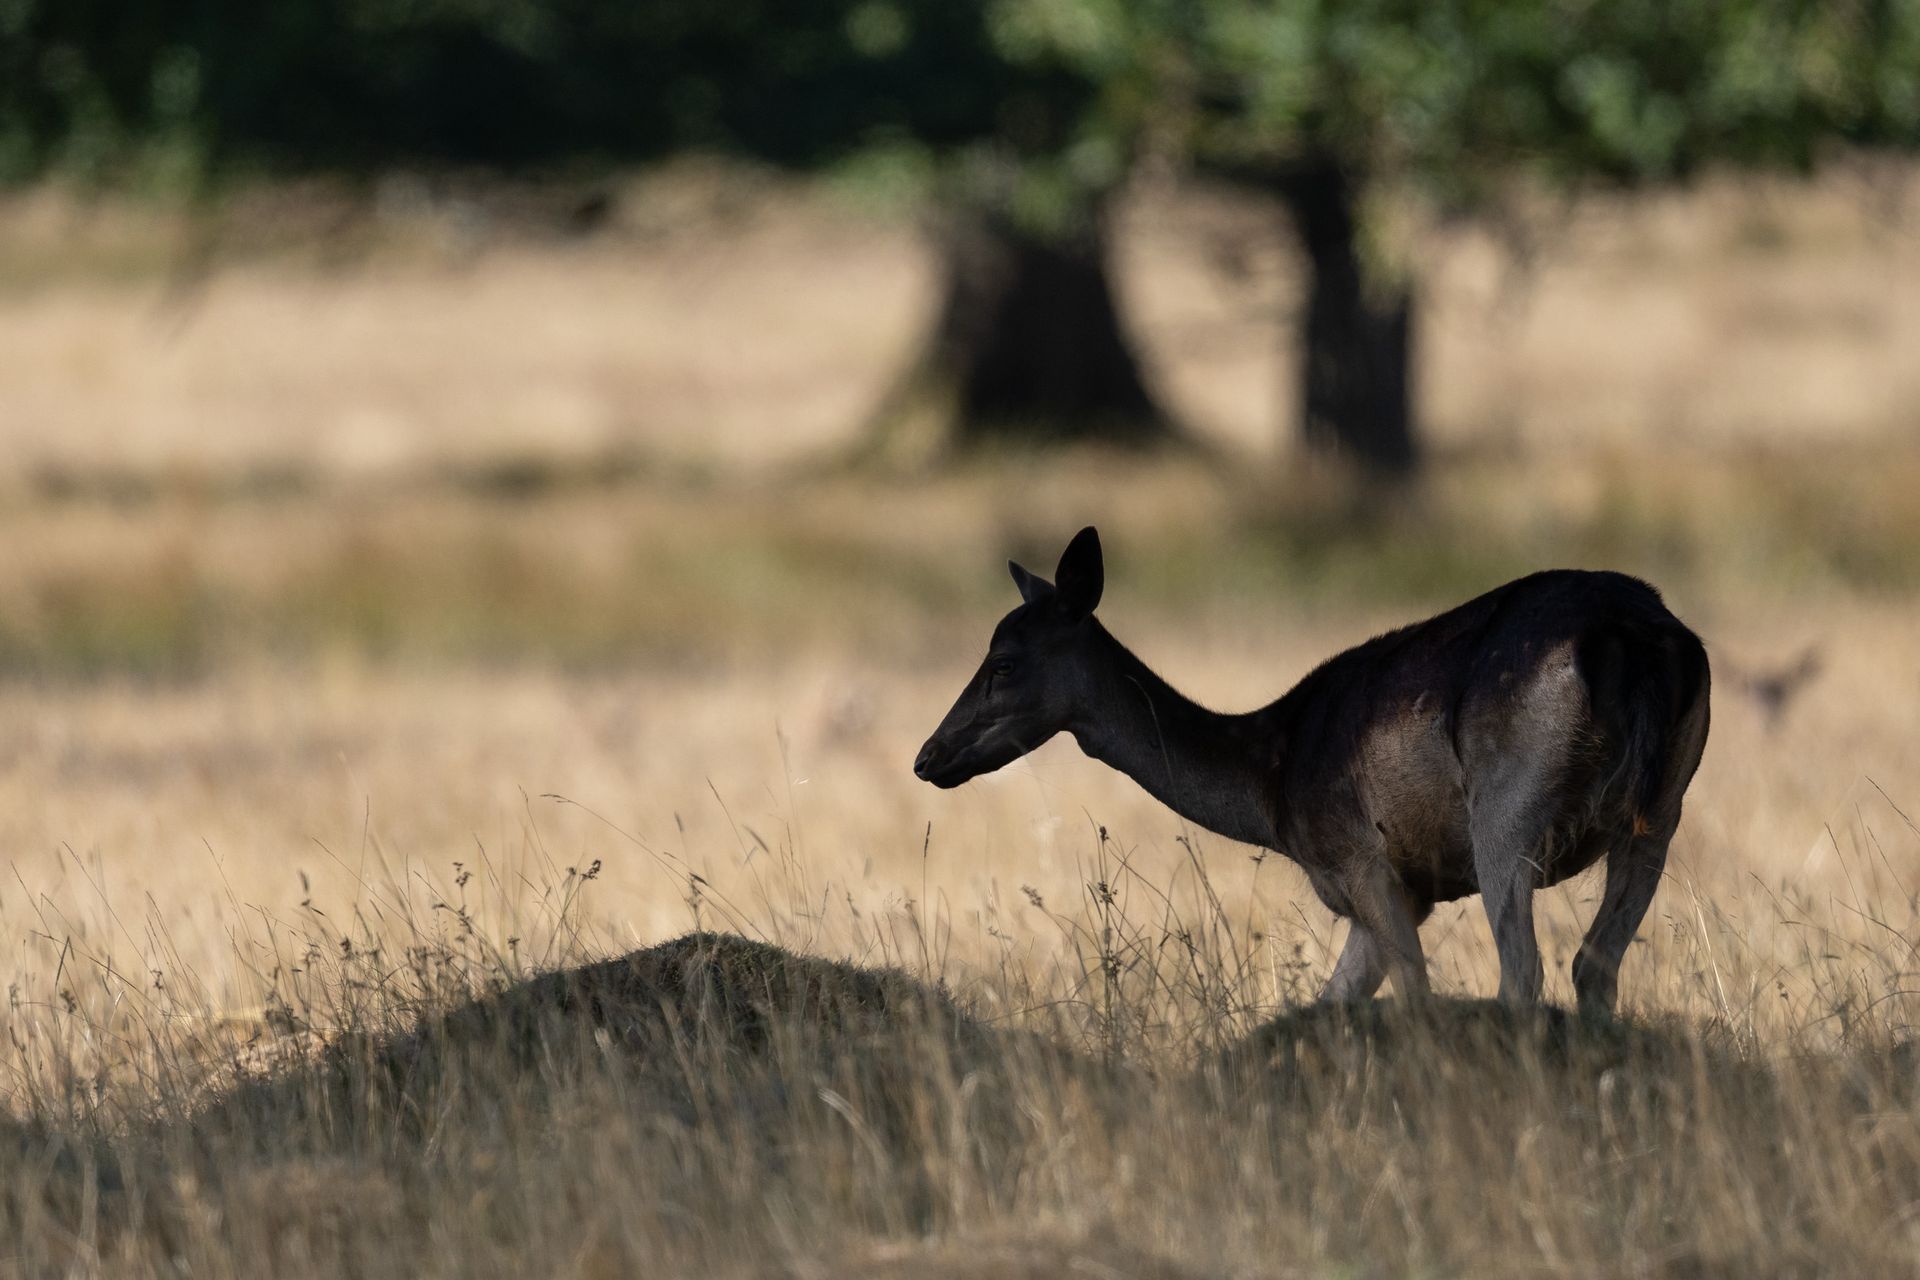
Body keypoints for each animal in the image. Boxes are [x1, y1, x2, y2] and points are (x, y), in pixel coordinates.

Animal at [913, 527, 1710, 1014]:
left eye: (1004, 662)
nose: (928, 757)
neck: (1274, 789)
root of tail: (1638, 638)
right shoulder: (1404, 892)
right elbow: (1335, 999)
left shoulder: (1358, 858)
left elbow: (1415, 992)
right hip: (1662, 811)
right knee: (1594, 963)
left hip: (1506, 812)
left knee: (1525, 972)